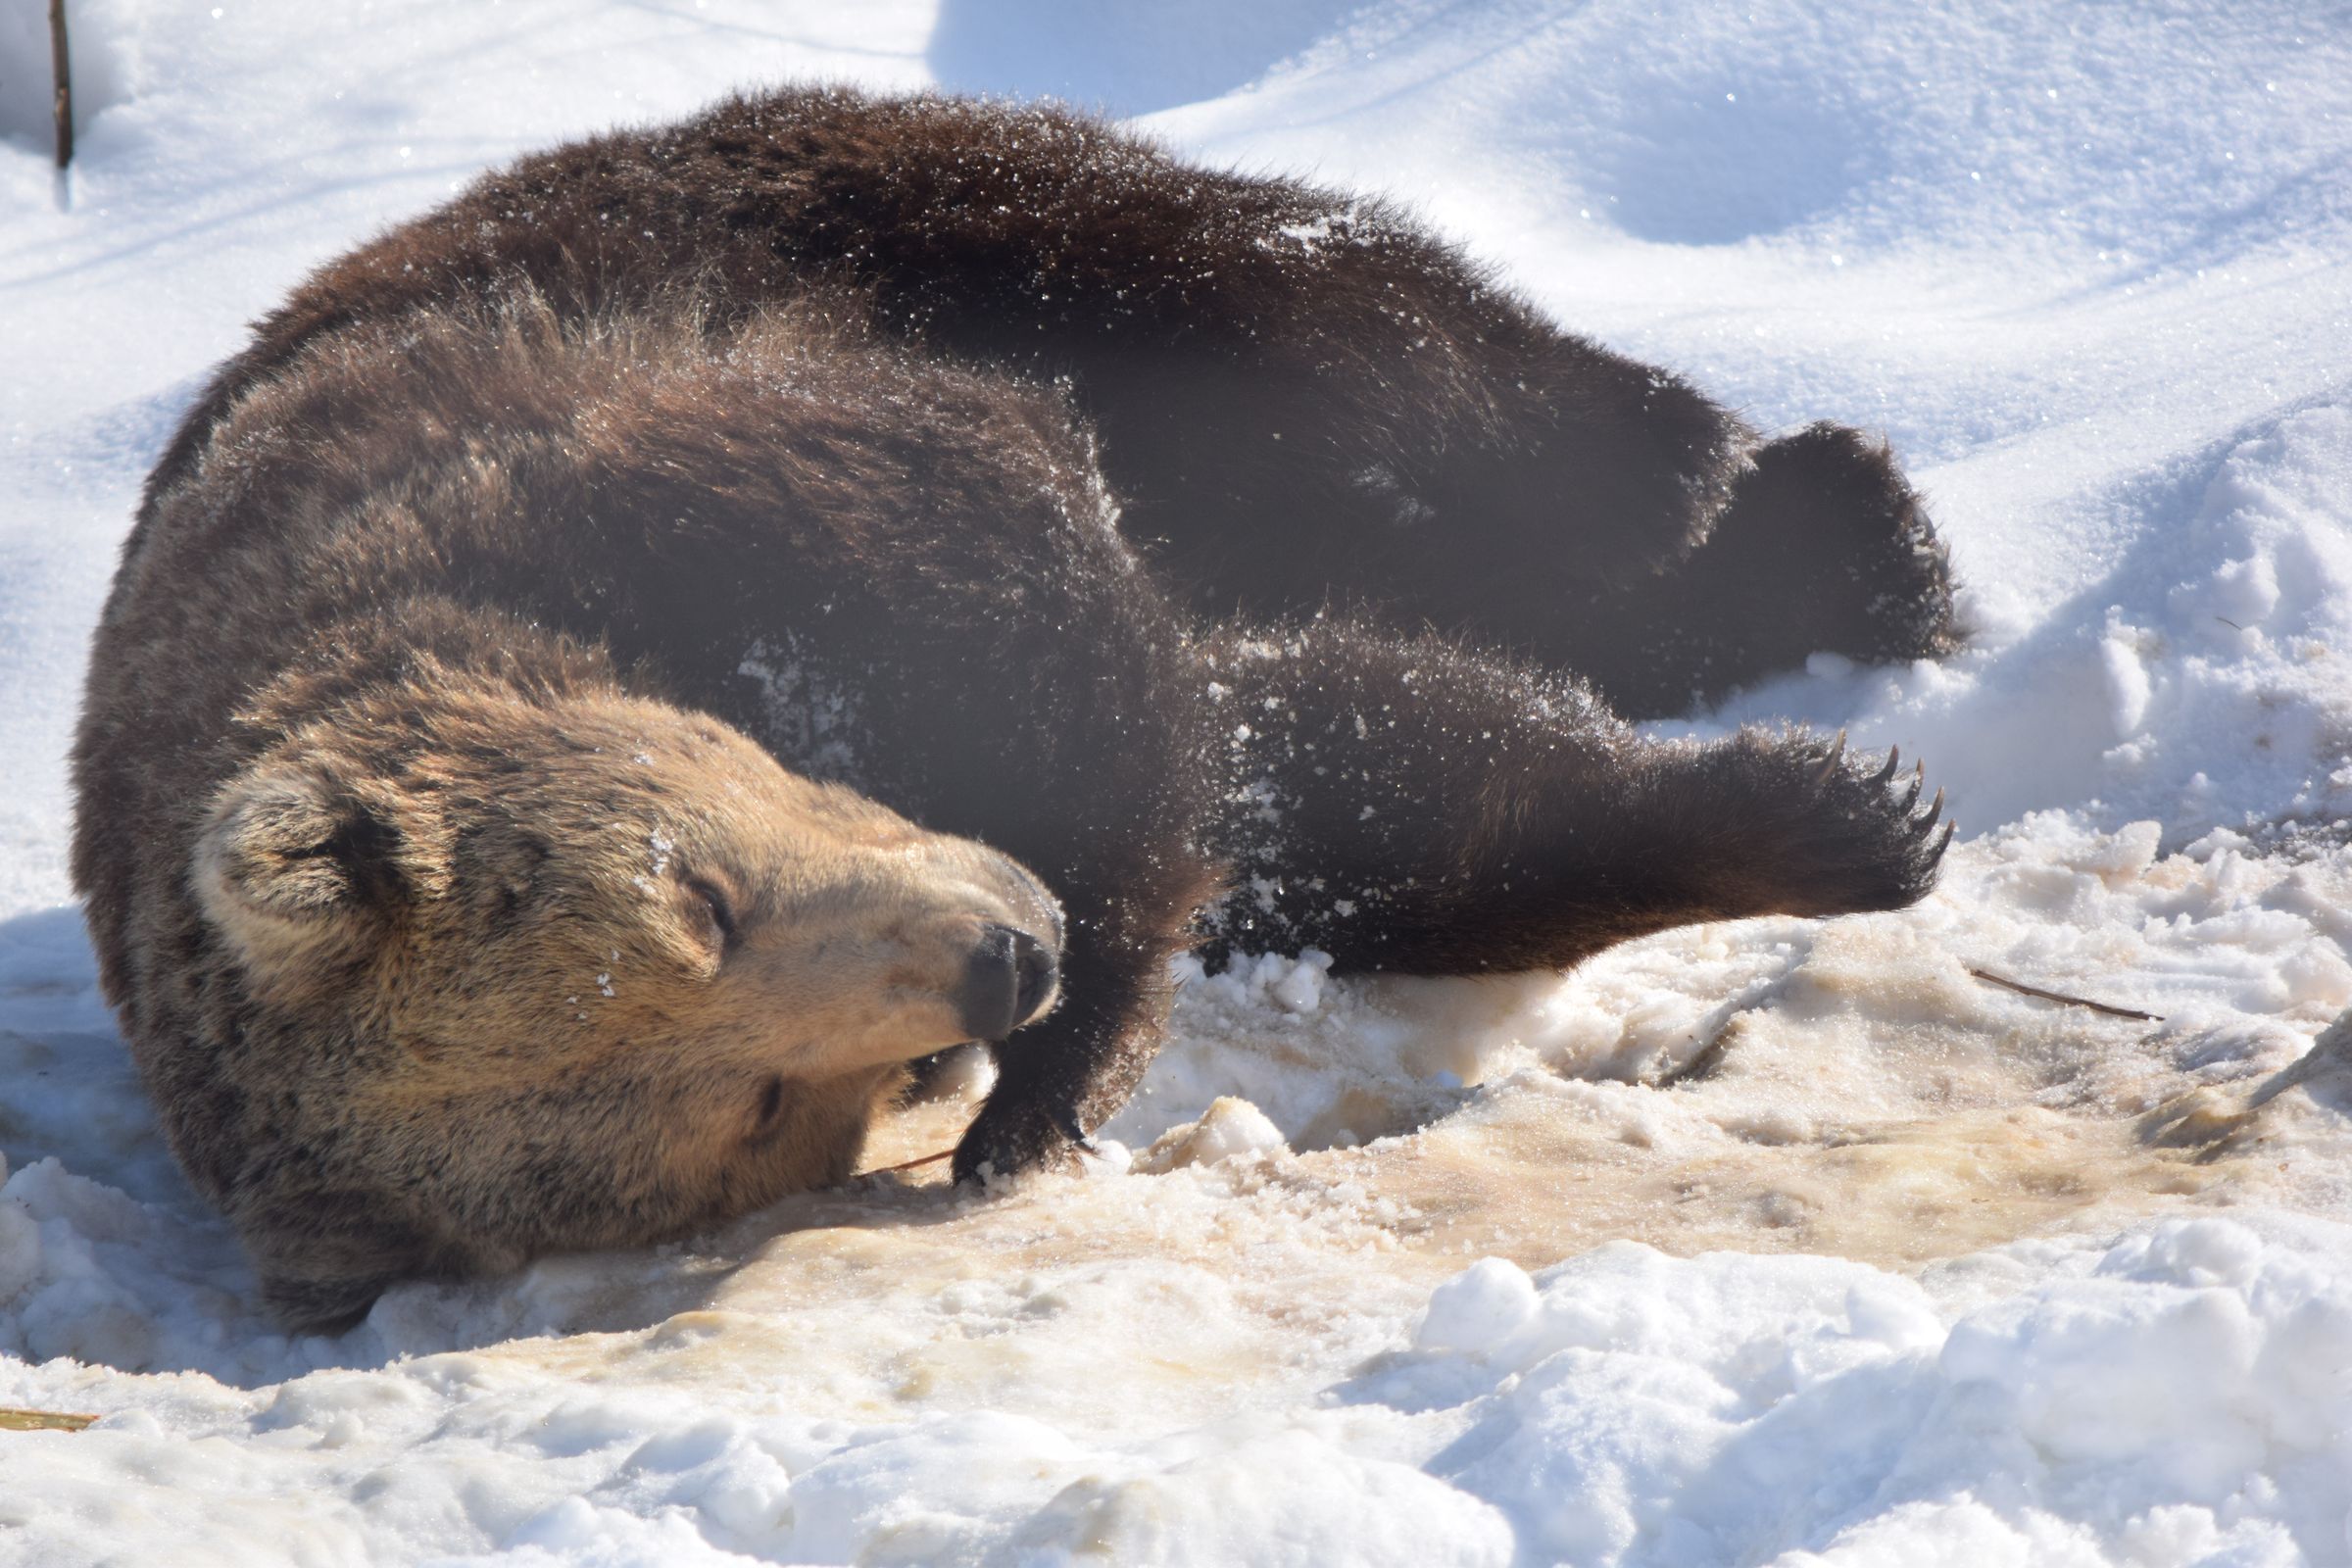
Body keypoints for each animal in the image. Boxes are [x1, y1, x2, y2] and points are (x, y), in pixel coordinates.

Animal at [69, 85, 1947, 1335]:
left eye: (702, 899)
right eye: (753, 1105)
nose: (1002, 959)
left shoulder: (677, 463)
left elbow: (1108, 649)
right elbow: (1338, 773)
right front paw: (1814, 812)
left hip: (991, 230)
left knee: (1448, 398)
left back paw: (1848, 536)